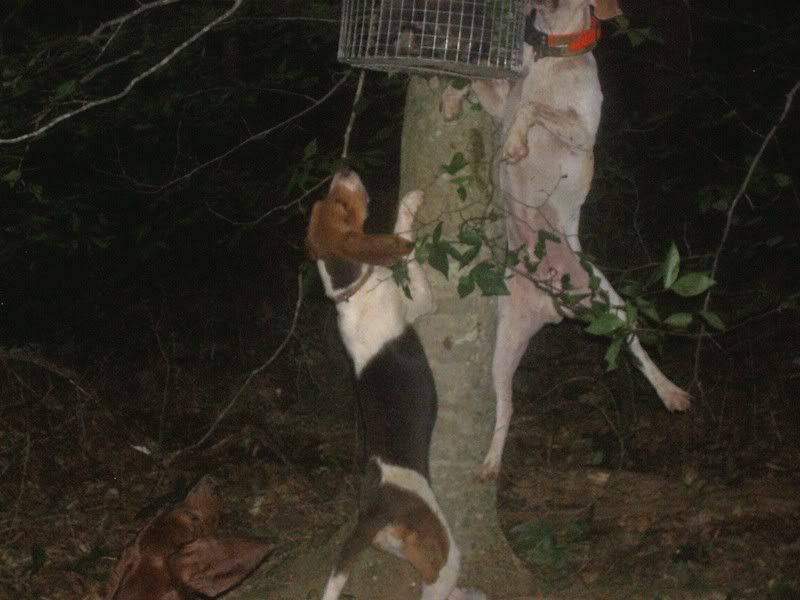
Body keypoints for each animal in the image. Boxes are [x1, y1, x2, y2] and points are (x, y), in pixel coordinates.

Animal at [306, 168, 463, 600]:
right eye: (342, 205)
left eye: (328, 200)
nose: (342, 170)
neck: (349, 293)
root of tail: (375, 510)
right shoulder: (421, 301)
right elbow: (405, 242)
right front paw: (409, 204)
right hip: (445, 552)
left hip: (390, 544)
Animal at [442, 0, 690, 480]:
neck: (551, 54)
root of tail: (552, 304)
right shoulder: (500, 103)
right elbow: (480, 84)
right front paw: (451, 98)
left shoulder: (581, 129)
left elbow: (533, 107)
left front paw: (515, 145)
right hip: (505, 349)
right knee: (507, 409)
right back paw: (491, 463)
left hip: (611, 307)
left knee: (639, 351)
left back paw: (671, 392)